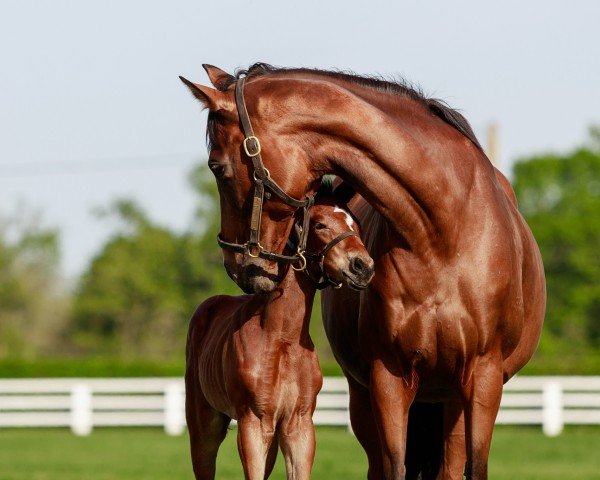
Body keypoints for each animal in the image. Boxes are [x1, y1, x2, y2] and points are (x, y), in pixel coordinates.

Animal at [188, 187, 372, 480]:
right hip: (205, 426)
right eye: (319, 224)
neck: (282, 336)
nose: (363, 266)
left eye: (356, 225)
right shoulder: (253, 422)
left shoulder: (298, 425)